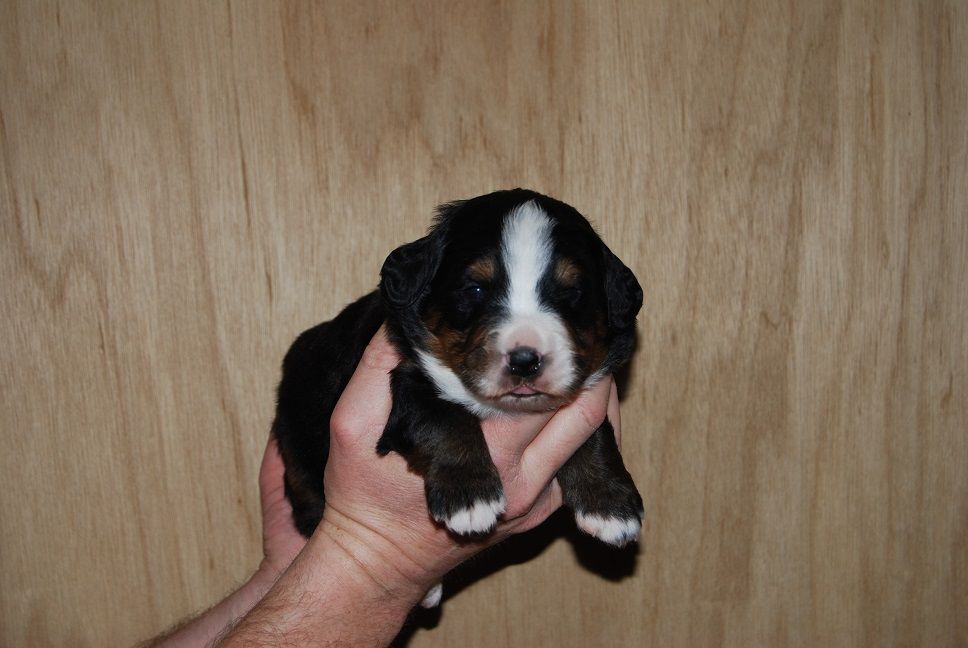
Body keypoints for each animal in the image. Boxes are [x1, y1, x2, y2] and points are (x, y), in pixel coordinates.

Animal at [273, 189, 643, 606]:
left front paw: (610, 505)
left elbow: (593, 433)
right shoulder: (408, 381)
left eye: (571, 293)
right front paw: (470, 497)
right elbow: (445, 417)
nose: (525, 361)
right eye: (476, 289)